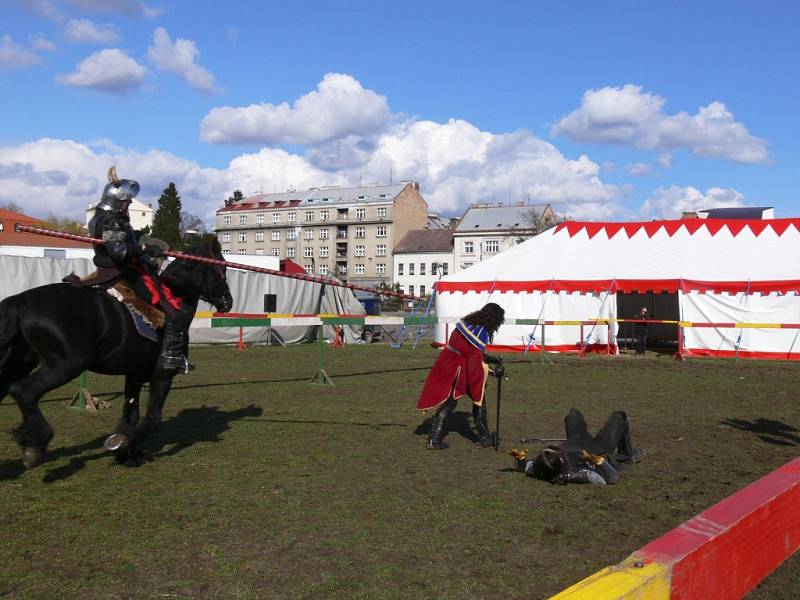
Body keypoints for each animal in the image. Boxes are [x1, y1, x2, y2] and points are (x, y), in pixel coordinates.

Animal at [0, 239, 231, 468]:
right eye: (222, 269)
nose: (228, 301)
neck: (176, 298)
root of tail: (22, 300)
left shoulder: (134, 376)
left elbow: (130, 416)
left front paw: (128, 454)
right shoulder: (162, 377)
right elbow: (152, 420)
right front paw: (122, 446)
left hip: (21, 363)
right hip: (65, 366)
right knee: (23, 391)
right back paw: (35, 445)